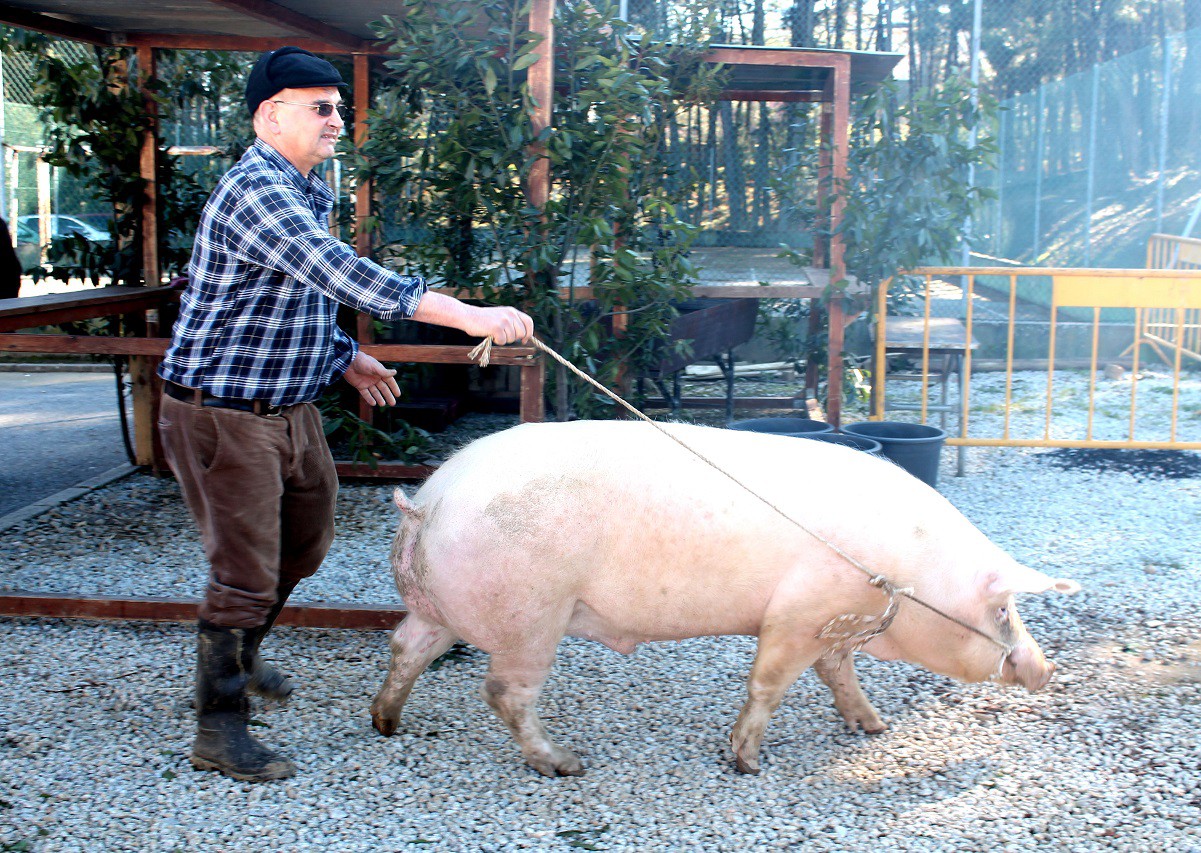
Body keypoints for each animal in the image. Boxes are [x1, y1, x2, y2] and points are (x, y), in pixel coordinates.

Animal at [369, 425, 1085, 778]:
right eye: (1002, 611)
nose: (1046, 668)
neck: (908, 576)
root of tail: (427, 501)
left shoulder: (836, 623)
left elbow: (839, 674)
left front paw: (873, 727)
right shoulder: (800, 613)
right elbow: (768, 682)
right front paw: (746, 763)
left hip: (441, 607)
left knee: (406, 645)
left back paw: (386, 724)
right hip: (532, 614)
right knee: (503, 692)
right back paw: (565, 764)